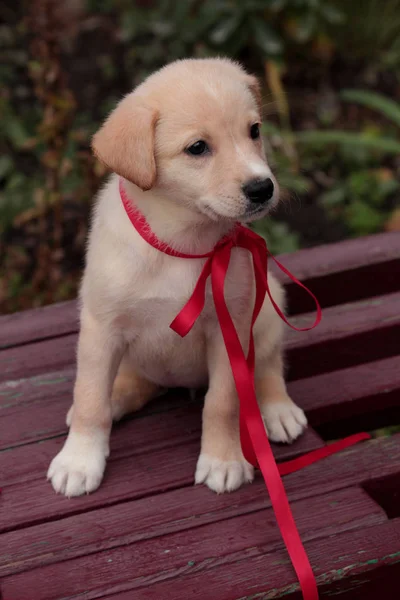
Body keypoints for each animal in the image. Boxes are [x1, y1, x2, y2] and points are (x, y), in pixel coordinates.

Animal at [46, 57, 306, 496]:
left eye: (254, 131)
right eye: (197, 148)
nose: (262, 188)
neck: (182, 243)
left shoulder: (230, 330)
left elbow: (223, 402)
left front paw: (223, 460)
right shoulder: (101, 327)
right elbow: (90, 399)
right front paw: (79, 460)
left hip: (269, 306)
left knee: (268, 367)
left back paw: (277, 409)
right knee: (131, 383)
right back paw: (118, 396)